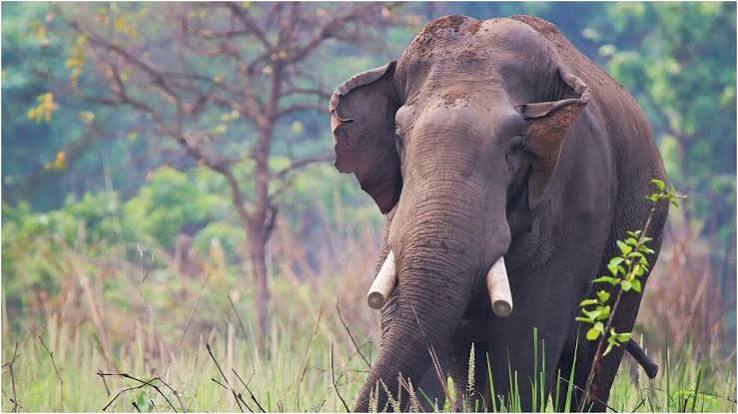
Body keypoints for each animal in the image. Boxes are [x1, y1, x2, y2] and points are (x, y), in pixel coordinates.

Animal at [329, 15, 669, 412]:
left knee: (590, 362)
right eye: (399, 135)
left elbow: (524, 340)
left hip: (639, 246)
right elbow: (408, 319)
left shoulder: (577, 198)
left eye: (516, 144)